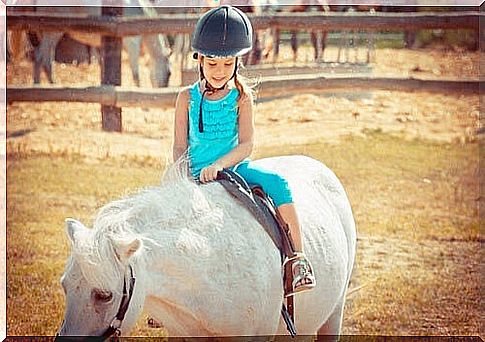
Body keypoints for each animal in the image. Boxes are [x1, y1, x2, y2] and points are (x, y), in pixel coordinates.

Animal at [29, 0, 170, 87]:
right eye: (169, 73)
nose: (163, 87)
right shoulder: (132, 45)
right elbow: (136, 74)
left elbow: (102, 67)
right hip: (53, 33)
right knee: (39, 56)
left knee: (46, 59)